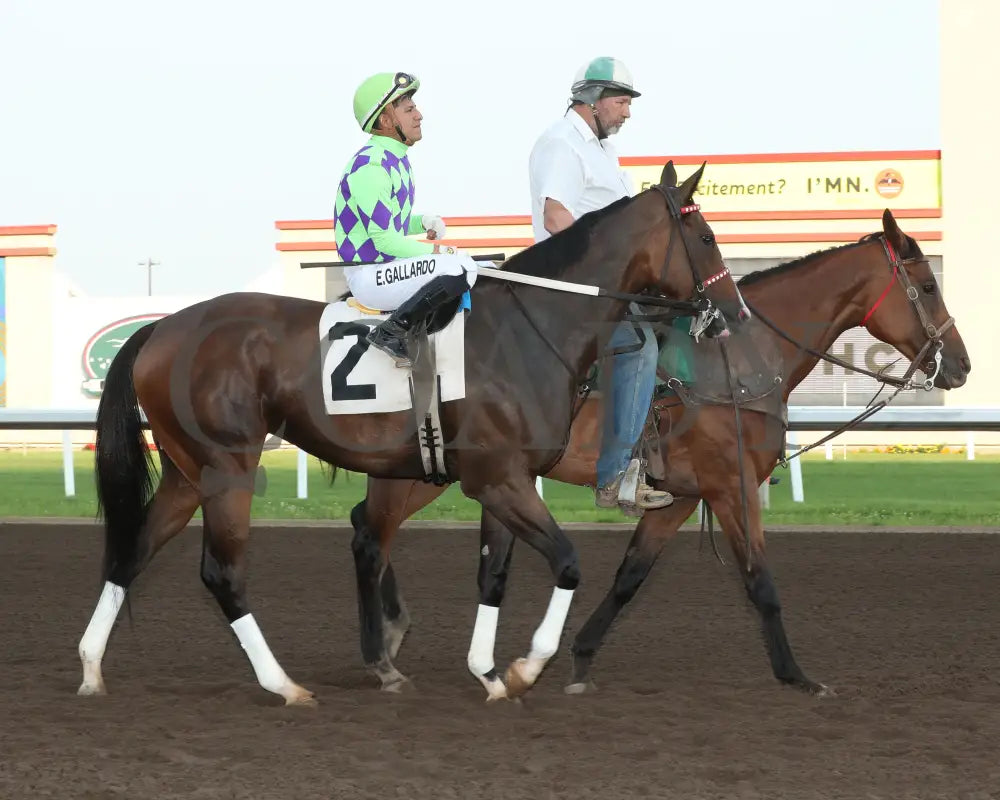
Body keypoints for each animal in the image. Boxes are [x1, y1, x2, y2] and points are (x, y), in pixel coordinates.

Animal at [76, 159, 752, 704]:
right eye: (706, 236)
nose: (736, 316)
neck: (528, 332)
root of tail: (160, 327)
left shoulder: (506, 479)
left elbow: (494, 574)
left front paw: (488, 673)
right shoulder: (498, 480)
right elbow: (566, 563)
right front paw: (526, 668)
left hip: (190, 473)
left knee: (133, 552)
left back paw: (90, 667)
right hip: (228, 468)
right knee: (222, 572)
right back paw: (284, 684)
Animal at [350, 211, 968, 700]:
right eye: (927, 286)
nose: (961, 365)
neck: (738, 363)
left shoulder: (680, 498)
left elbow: (631, 576)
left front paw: (580, 656)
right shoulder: (731, 486)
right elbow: (760, 581)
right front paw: (797, 676)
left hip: (429, 471)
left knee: (367, 527)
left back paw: (393, 631)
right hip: (426, 471)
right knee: (371, 534)